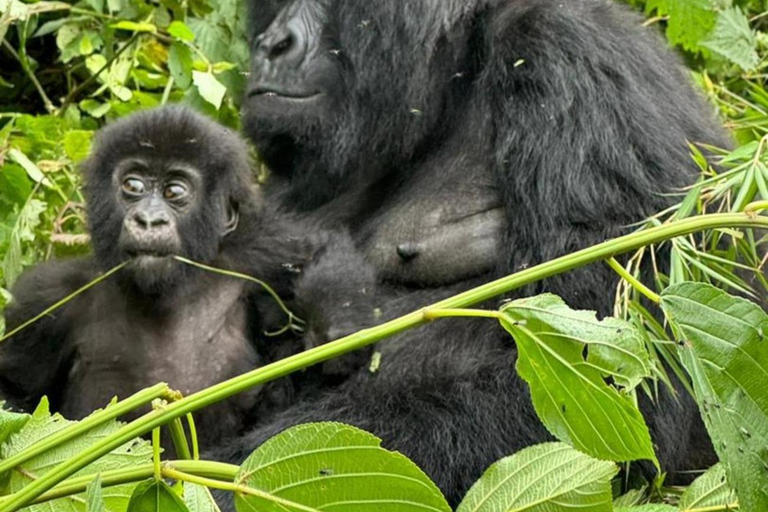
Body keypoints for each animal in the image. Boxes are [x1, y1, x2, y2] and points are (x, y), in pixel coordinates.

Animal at [0, 107, 376, 444]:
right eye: (132, 185)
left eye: (174, 192)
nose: (148, 220)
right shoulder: (46, 299)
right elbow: (15, 394)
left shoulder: (256, 255)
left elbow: (316, 249)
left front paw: (336, 327)